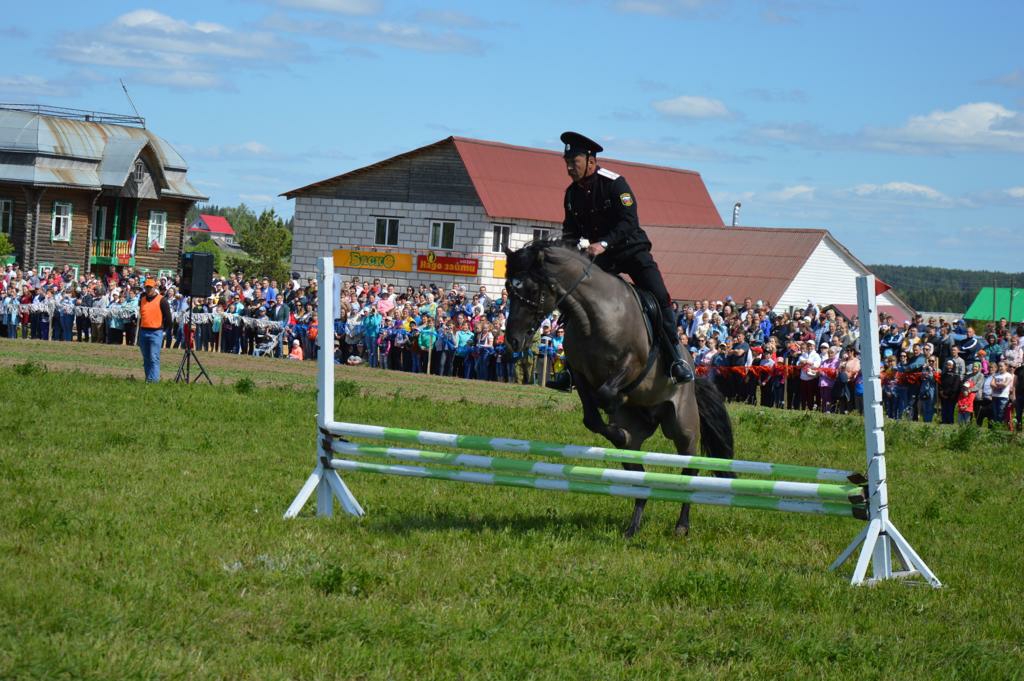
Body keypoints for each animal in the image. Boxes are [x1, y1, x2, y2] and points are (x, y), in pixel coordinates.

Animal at [499, 238, 733, 536]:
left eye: (531, 289)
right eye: (509, 288)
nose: (513, 340)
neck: (592, 314)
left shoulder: (632, 364)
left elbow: (606, 394)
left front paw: (616, 403)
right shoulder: (579, 373)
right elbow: (591, 416)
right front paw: (617, 431)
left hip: (683, 425)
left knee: (689, 469)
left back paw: (681, 526)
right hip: (640, 439)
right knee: (638, 474)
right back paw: (632, 525)